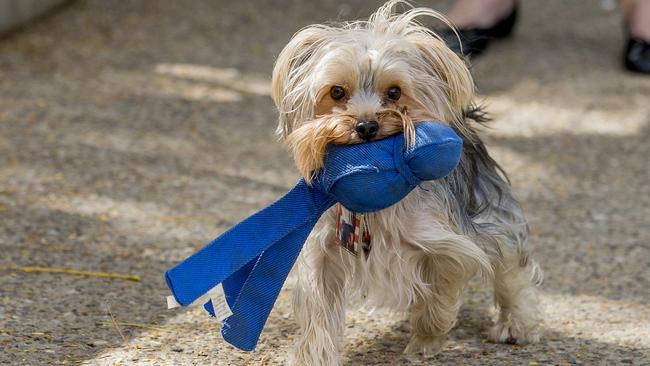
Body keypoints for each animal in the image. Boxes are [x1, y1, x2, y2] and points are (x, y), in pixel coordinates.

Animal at [268, 2, 540, 364]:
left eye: (394, 92)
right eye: (336, 91)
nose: (366, 126)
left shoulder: (448, 247)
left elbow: (441, 292)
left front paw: (426, 339)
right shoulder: (323, 252)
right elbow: (318, 311)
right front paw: (312, 356)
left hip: (490, 213)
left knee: (510, 266)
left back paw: (513, 324)